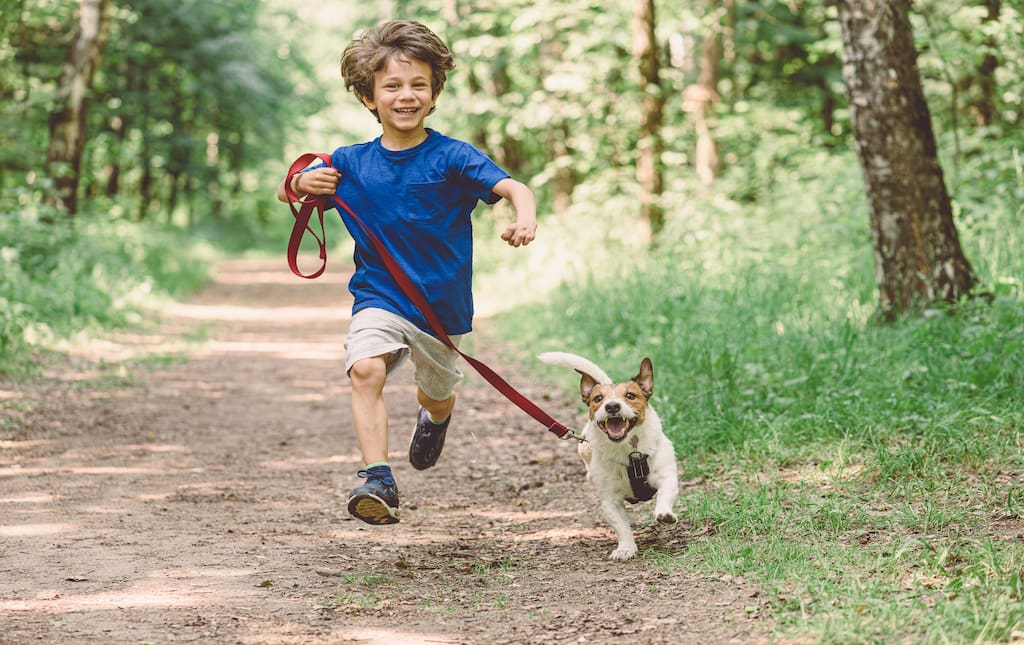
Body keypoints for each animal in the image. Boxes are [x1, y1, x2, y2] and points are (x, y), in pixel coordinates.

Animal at [536, 354, 679, 561]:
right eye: (598, 398)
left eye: (630, 395)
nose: (611, 406)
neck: (628, 452)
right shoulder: (610, 501)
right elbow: (622, 526)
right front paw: (626, 548)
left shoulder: (666, 477)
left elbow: (665, 495)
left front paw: (664, 514)